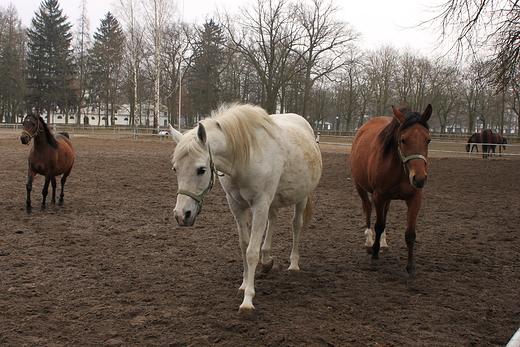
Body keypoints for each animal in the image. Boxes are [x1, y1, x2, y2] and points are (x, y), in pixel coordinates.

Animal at [352, 104, 432, 278]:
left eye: (428, 140)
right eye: (403, 139)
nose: (420, 178)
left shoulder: (415, 198)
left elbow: (410, 234)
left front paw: (411, 268)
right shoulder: (379, 195)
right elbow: (379, 224)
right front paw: (375, 253)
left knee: (385, 212)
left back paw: (383, 241)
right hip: (360, 186)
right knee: (367, 208)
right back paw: (370, 241)